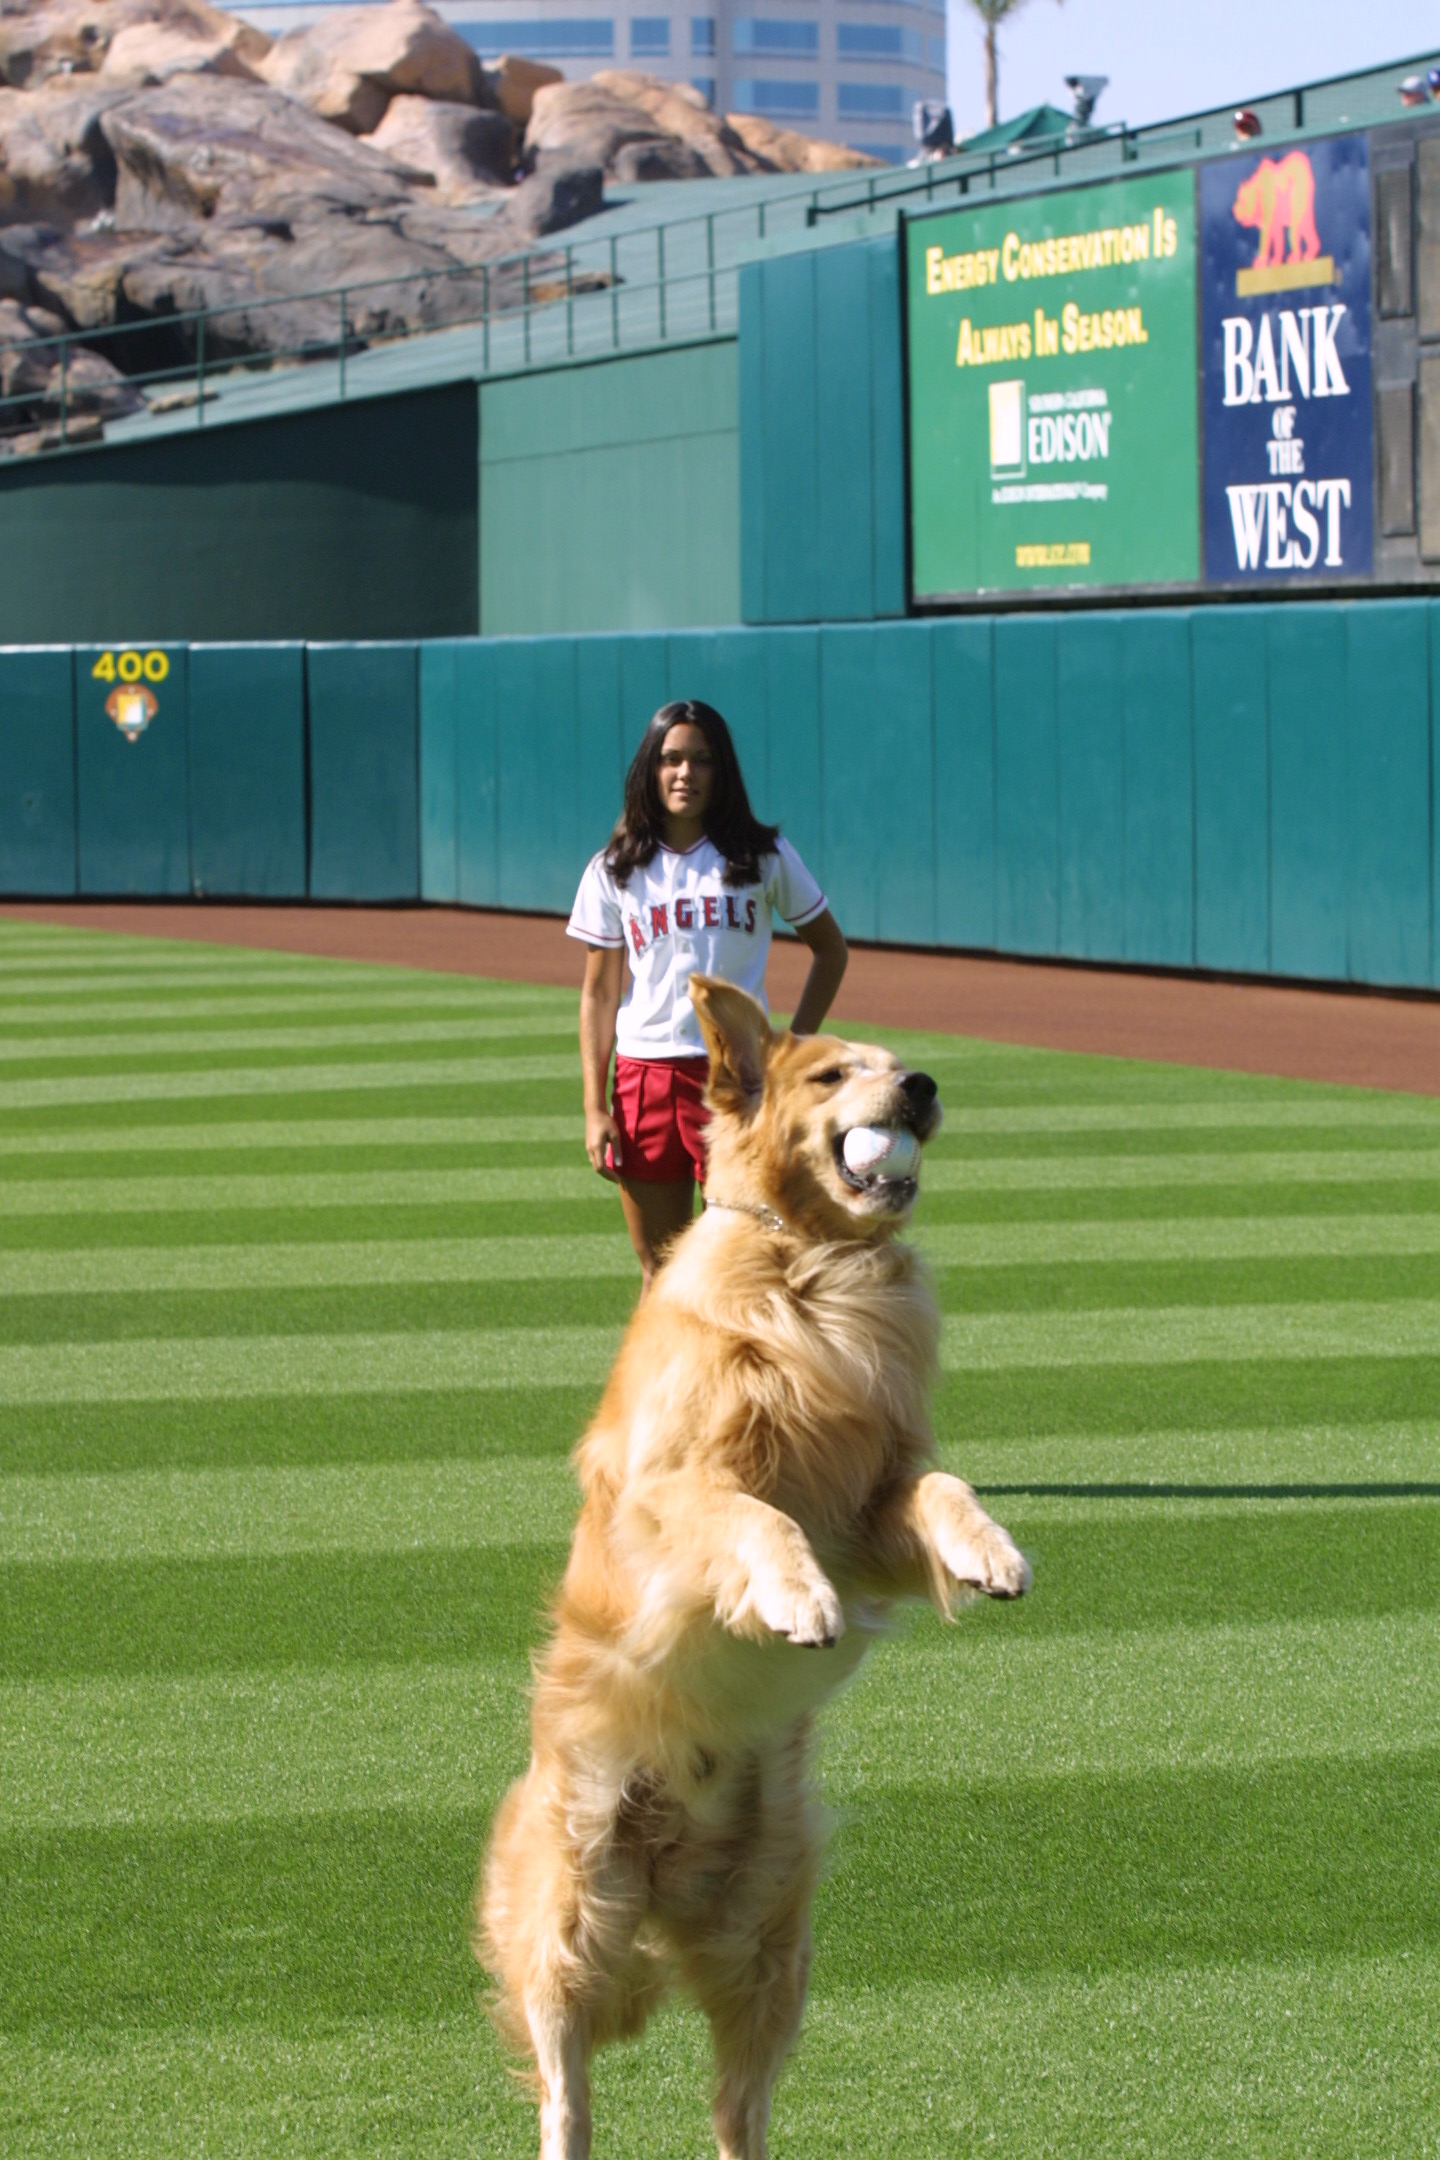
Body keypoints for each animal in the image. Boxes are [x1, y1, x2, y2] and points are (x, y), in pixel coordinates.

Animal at [479, 984, 1031, 2160]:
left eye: (900, 1062)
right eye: (831, 1076)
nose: (922, 1087)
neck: (815, 1270)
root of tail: (667, 1883)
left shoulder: (870, 1505)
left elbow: (941, 1484)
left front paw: (991, 1549)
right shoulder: (667, 1494)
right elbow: (751, 1512)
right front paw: (795, 1597)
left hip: (771, 1945)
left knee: (738, 2111)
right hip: (570, 1923)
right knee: (565, 2093)